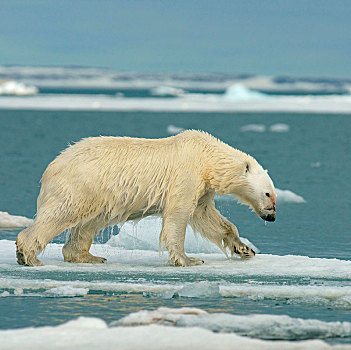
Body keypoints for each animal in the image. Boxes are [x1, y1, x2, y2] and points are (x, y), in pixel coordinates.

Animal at [15, 130, 276, 266]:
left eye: (274, 195)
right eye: (268, 193)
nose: (271, 216)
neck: (207, 158)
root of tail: (54, 164)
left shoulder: (203, 188)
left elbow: (207, 217)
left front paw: (245, 249)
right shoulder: (186, 175)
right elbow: (178, 216)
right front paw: (189, 259)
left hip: (98, 195)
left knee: (88, 224)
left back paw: (89, 256)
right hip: (81, 185)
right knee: (61, 213)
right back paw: (28, 255)